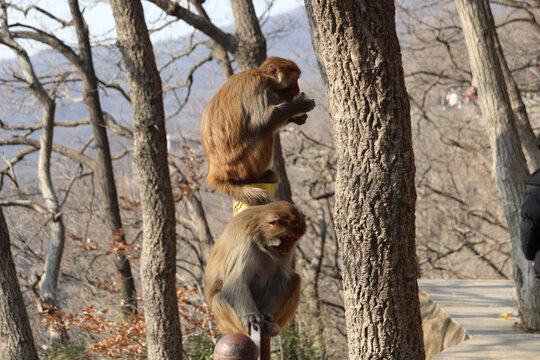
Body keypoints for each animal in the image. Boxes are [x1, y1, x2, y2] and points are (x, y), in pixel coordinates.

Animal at [200, 54, 314, 204]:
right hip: (241, 166)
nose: (297, 90)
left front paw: (297, 117)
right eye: (295, 79)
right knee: (266, 134)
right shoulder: (257, 87)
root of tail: (216, 173)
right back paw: (255, 177)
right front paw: (301, 104)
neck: (265, 78)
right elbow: (260, 122)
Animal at [204, 201, 306, 336]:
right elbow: (235, 281)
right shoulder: (246, 244)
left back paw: (273, 326)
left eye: (294, 238)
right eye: (289, 236)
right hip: (225, 322)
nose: (288, 248)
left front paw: (267, 313)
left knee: (295, 279)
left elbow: (280, 277)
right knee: (219, 297)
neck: (261, 238)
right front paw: (251, 315)